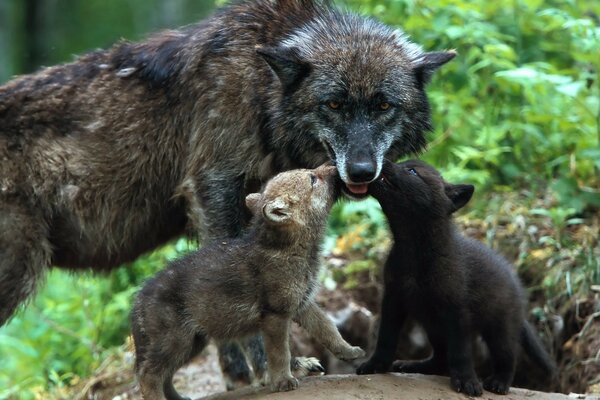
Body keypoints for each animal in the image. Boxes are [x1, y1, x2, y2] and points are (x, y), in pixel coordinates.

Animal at [0, 0, 452, 388]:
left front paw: (241, 372)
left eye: (383, 106)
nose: (361, 171)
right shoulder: (214, 189)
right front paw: (270, 368)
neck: (260, 88)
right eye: (335, 104)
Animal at [354, 159, 556, 396]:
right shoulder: (393, 299)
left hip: (500, 327)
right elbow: (385, 338)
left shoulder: (457, 310)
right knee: (440, 358)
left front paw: (467, 381)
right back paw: (414, 365)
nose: (382, 161)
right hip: (434, 326)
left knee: (507, 356)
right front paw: (376, 365)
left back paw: (499, 383)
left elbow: (461, 352)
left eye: (412, 171)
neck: (414, 251)